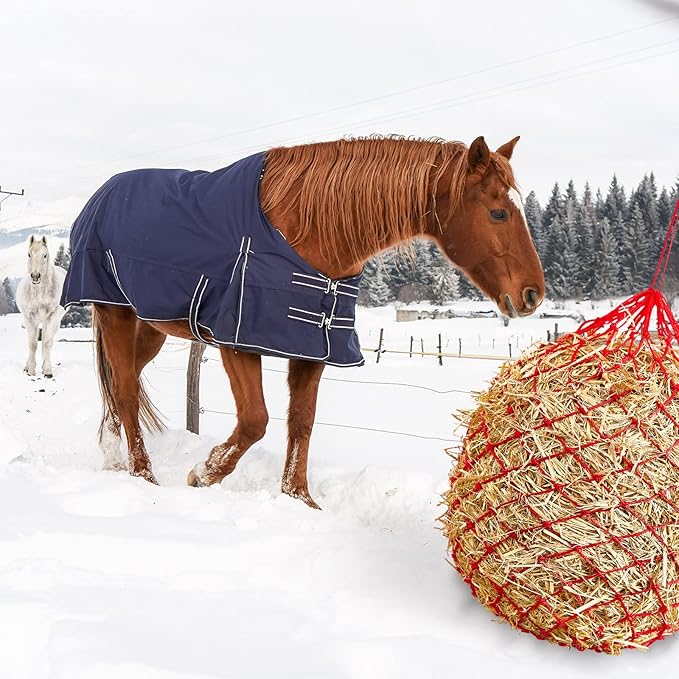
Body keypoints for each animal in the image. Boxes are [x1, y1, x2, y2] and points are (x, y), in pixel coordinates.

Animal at [16, 235, 67, 378]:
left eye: (45, 255)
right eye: (29, 254)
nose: (35, 276)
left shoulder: (52, 317)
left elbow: (47, 343)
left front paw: (47, 370)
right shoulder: (29, 318)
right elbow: (32, 344)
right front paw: (31, 370)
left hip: (53, 321)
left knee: (46, 340)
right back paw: (27, 366)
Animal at [61, 135, 545, 508]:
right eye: (499, 213)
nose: (533, 294)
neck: (309, 231)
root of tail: (101, 197)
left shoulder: (313, 346)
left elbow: (302, 421)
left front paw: (299, 498)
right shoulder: (239, 341)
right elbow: (255, 420)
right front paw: (204, 472)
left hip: (150, 327)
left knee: (120, 386)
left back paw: (113, 457)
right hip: (115, 313)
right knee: (126, 391)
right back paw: (142, 473)